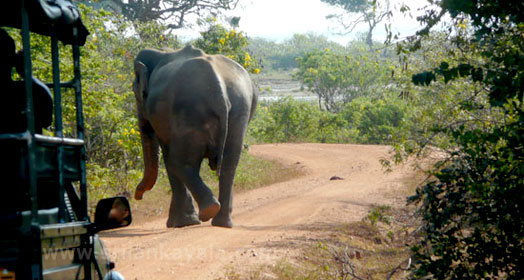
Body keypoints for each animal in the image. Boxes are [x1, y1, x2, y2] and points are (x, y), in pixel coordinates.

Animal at [132, 44, 256, 228]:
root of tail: (218, 90)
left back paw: (209, 212)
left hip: (190, 112)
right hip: (238, 113)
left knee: (178, 161)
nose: (138, 196)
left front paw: (179, 223)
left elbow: (168, 156)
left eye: (135, 91)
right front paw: (184, 222)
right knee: (229, 164)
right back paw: (221, 222)